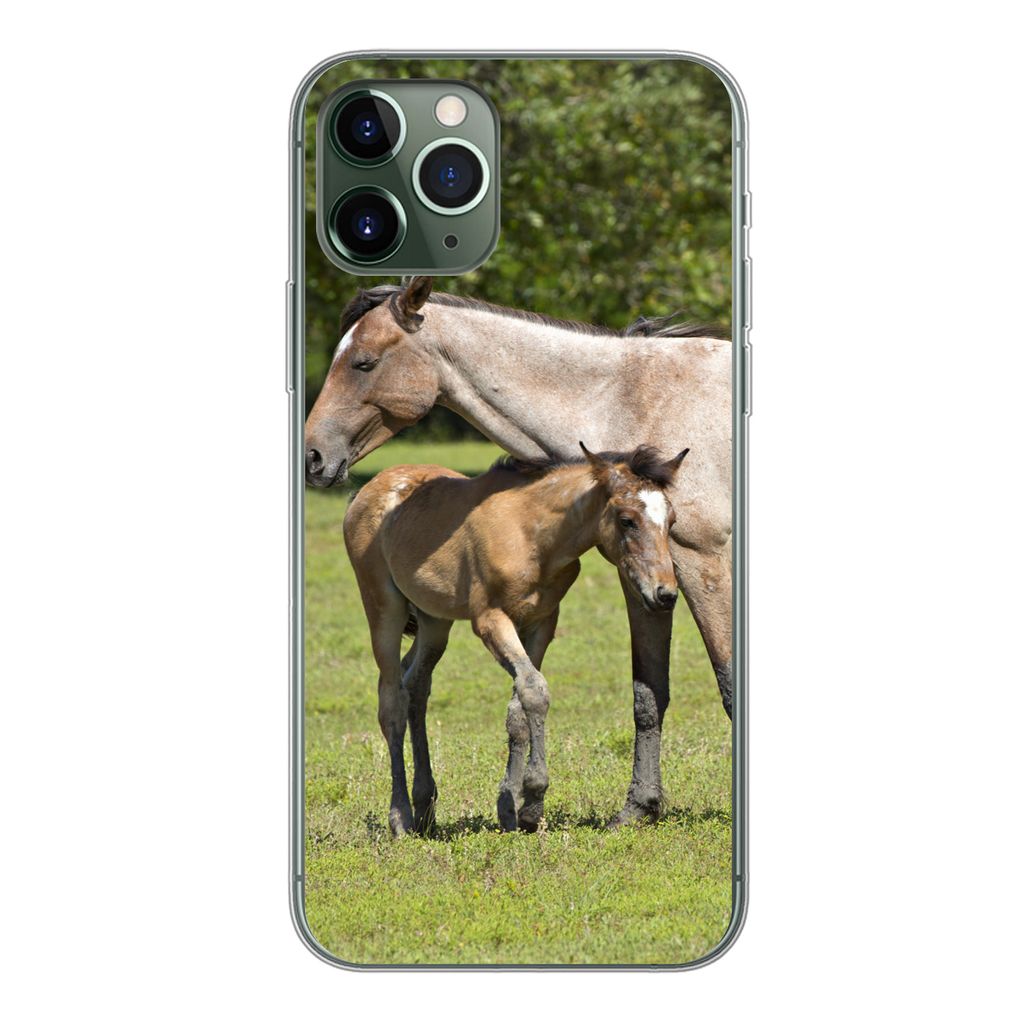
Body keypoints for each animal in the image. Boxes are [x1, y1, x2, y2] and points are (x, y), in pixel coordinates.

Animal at [343, 444, 688, 835]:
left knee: (416, 685)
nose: (665, 594)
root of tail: (367, 489)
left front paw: (511, 808)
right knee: (392, 700)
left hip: (434, 620)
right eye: (627, 520)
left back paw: (425, 807)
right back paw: (400, 816)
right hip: (383, 606)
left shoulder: (542, 622)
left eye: (671, 521)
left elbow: (519, 706)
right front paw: (533, 799)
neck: (532, 535)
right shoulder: (490, 619)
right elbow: (535, 690)